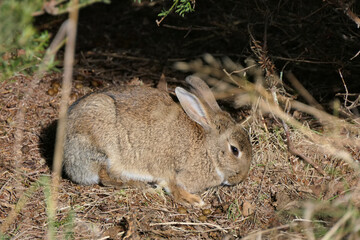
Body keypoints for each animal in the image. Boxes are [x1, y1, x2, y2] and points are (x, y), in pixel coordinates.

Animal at [62, 75, 253, 206]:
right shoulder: (169, 167)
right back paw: (139, 185)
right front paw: (192, 200)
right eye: (235, 150)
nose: (240, 178)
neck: (207, 148)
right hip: (103, 148)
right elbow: (172, 184)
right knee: (105, 177)